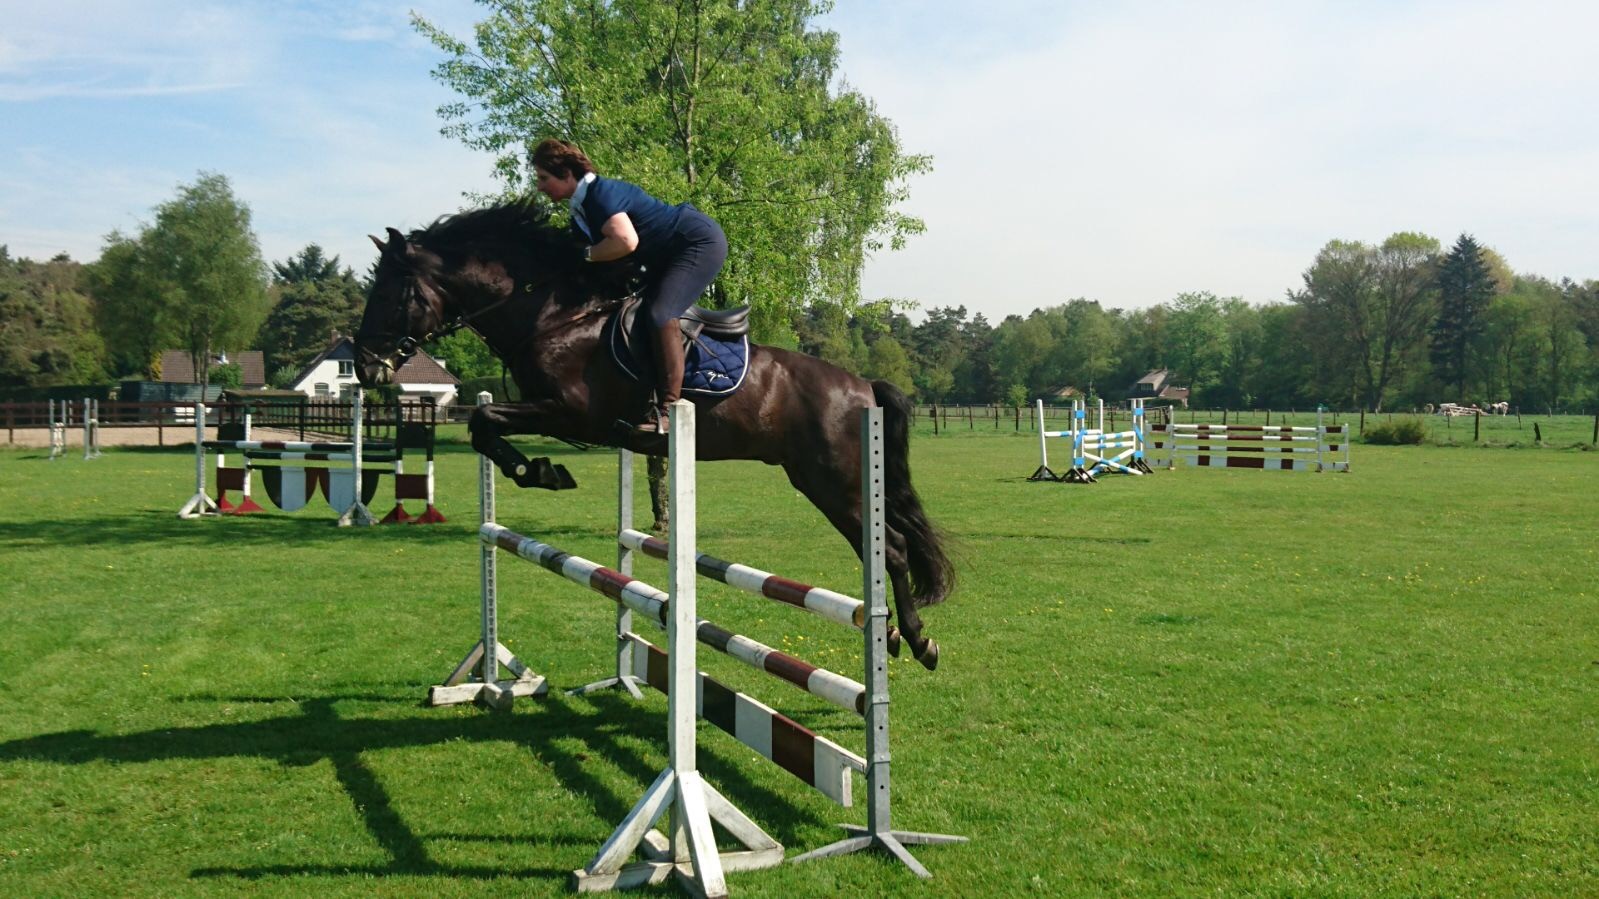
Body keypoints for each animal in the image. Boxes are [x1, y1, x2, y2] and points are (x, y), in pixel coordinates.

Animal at [353, 201, 953, 669]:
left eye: (391, 293)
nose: (364, 368)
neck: (555, 317)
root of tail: (862, 386)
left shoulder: (571, 415)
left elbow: (485, 422)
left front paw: (541, 471)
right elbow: (483, 427)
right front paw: (540, 470)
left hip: (836, 484)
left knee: (893, 548)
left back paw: (917, 641)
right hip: (824, 484)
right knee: (882, 548)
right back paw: (893, 632)